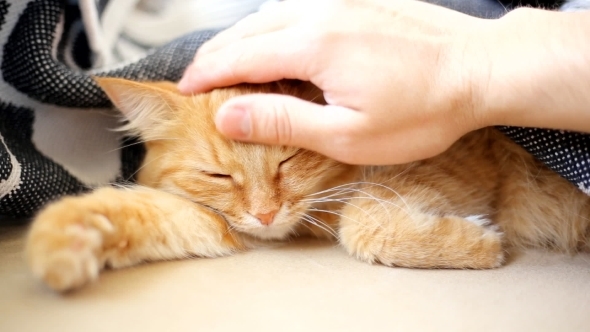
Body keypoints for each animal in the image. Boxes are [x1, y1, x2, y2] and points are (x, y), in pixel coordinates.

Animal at [25, 77, 590, 290]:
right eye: (218, 175)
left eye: (289, 159)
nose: (265, 214)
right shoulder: (218, 221)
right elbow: (141, 212)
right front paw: (64, 242)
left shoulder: (453, 158)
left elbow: (362, 222)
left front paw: (480, 245)